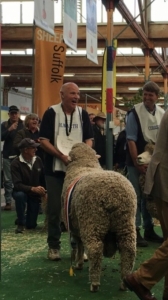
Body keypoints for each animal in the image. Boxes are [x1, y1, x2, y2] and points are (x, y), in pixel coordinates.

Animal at [61, 143, 136, 292]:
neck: (84, 164)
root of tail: (113, 197)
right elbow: (80, 245)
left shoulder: (75, 226)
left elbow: (79, 245)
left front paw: (78, 263)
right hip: (125, 222)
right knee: (128, 249)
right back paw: (124, 283)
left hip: (92, 221)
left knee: (95, 249)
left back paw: (94, 283)